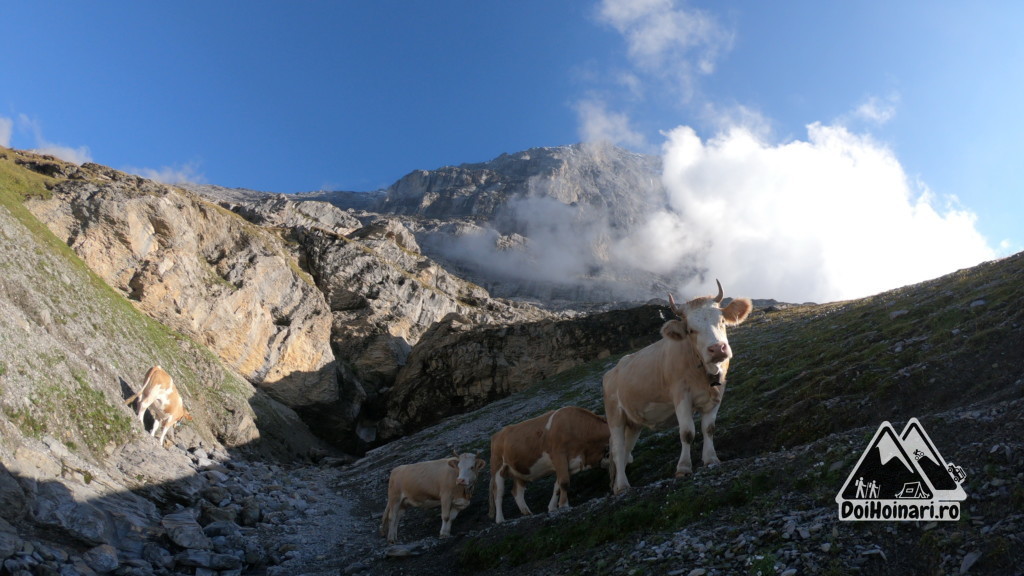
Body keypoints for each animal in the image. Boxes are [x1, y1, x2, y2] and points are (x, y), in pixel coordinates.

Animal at [603, 280, 752, 494]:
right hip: (615, 415)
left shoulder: (717, 395)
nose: (717, 349)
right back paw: (623, 486)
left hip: (633, 423)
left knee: (625, 451)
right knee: (616, 450)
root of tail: (612, 371)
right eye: (691, 330)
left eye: (722, 321)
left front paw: (711, 459)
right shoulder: (681, 396)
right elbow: (687, 432)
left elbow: (709, 429)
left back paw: (617, 487)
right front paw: (683, 468)